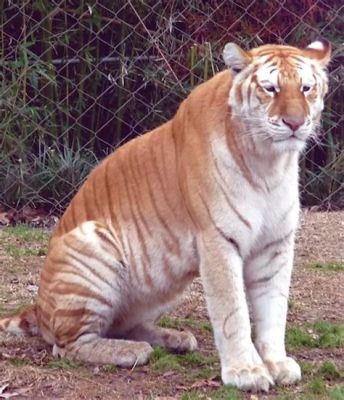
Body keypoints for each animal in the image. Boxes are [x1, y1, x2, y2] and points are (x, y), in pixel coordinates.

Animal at [1, 39, 332, 390]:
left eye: (306, 88)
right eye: (270, 89)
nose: (295, 123)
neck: (269, 163)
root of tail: (39, 307)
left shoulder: (275, 244)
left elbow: (274, 308)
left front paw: (276, 363)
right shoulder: (218, 240)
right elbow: (233, 311)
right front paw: (246, 371)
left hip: (163, 280)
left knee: (120, 324)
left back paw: (176, 339)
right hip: (93, 248)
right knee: (67, 345)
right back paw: (132, 352)